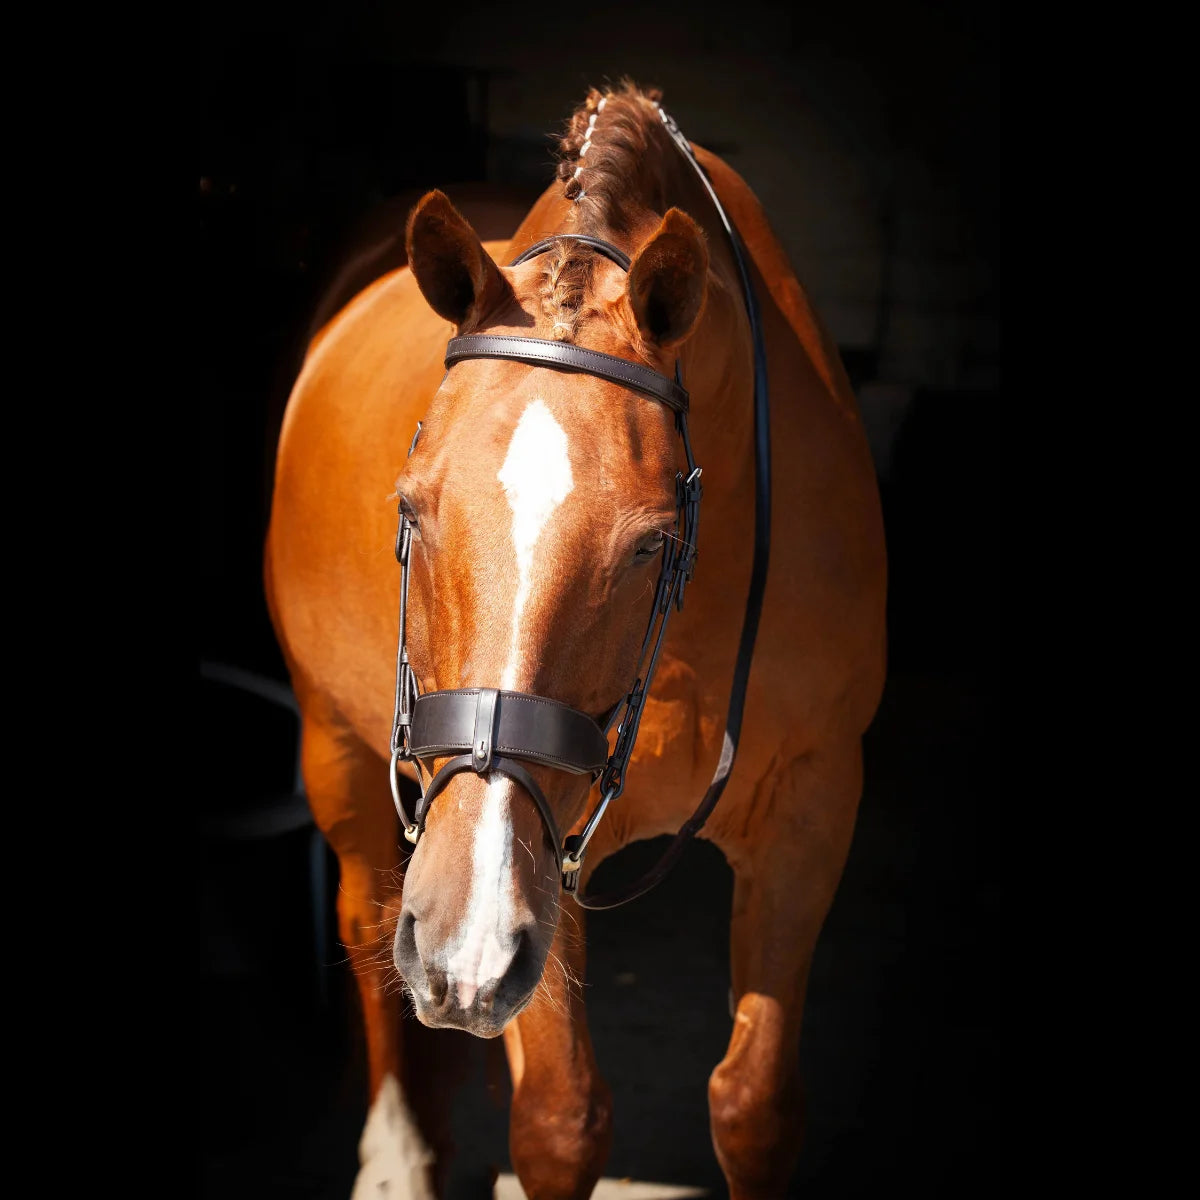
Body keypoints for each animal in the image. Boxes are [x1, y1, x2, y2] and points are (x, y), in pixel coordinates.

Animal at [265, 81, 887, 1199]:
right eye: (411, 510)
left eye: (651, 542)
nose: (459, 948)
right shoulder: (525, 853)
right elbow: (561, 1120)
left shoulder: (814, 804)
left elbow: (755, 1106)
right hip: (340, 756)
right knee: (366, 916)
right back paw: (397, 1154)